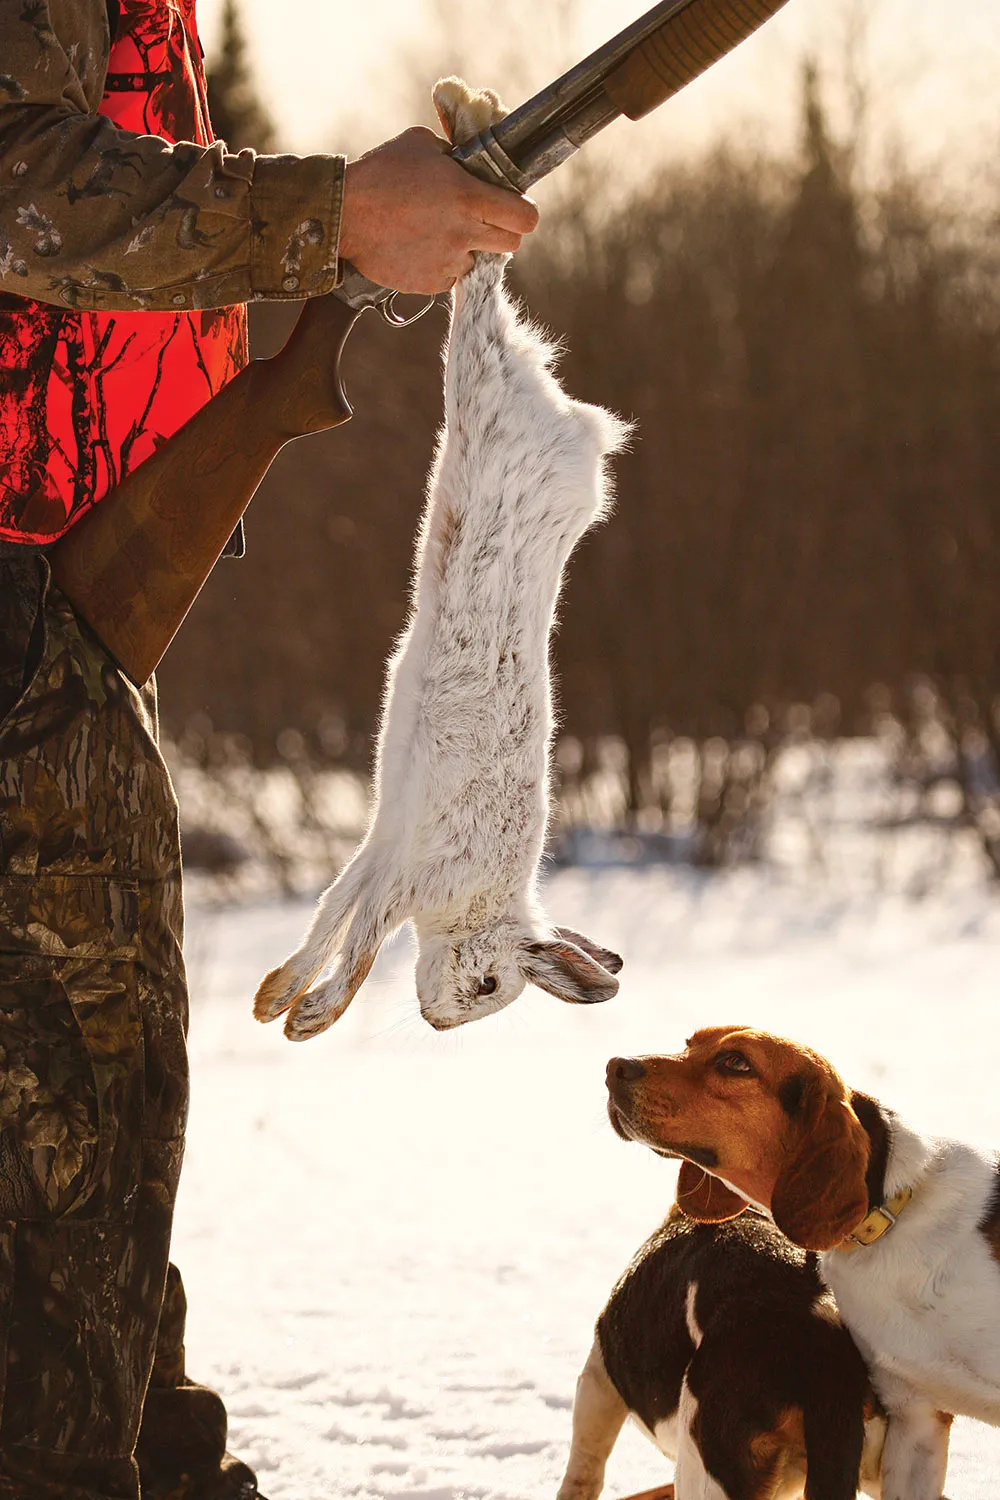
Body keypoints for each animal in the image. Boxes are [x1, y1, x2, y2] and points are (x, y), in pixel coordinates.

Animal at [253, 78, 630, 1041]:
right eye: (492, 984)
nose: (435, 1022)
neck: (476, 902)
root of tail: (569, 424)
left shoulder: (383, 844)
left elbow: (335, 913)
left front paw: (281, 1000)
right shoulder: (411, 869)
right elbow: (361, 941)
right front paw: (310, 1017)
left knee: (479, 297)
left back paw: (468, 108)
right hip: (486, 393)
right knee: (478, 296)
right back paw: (475, 117)